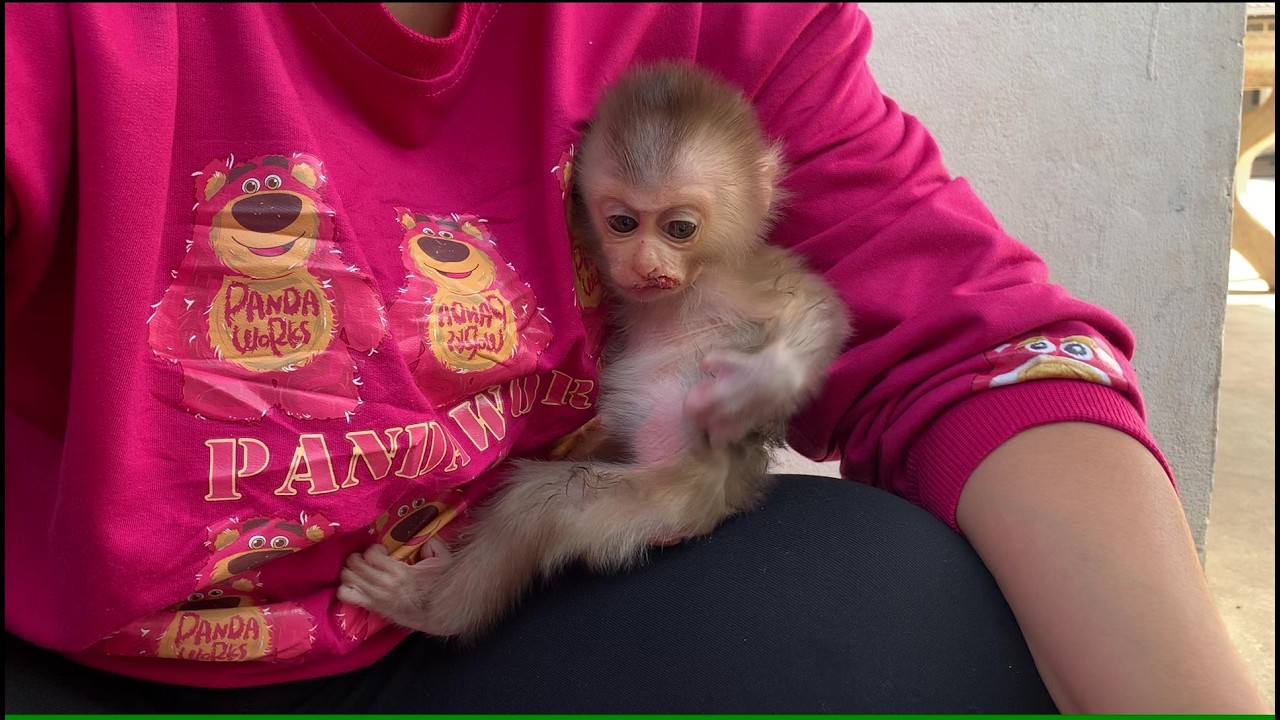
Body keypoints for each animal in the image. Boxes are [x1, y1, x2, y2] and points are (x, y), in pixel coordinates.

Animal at [338, 61, 852, 640]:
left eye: (680, 228)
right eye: (622, 223)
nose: (646, 263)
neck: (684, 292)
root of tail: (721, 501)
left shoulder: (743, 279)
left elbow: (817, 309)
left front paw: (749, 391)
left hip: (667, 500)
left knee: (546, 504)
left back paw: (430, 608)